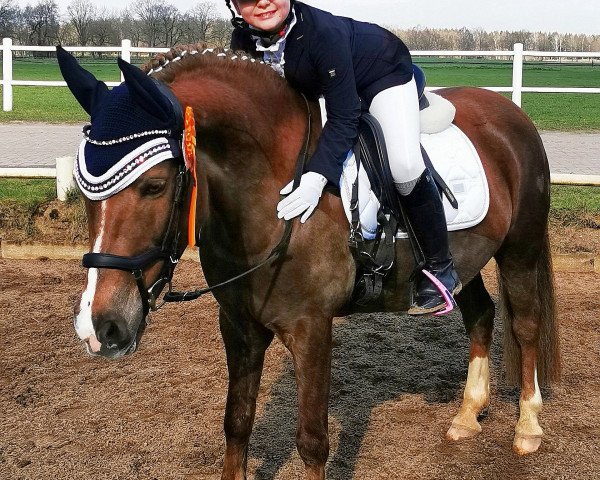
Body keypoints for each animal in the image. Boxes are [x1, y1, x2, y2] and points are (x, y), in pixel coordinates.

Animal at [68, 46, 560, 480]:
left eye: (153, 186)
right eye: (82, 187)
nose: (101, 327)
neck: (270, 196)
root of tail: (511, 113)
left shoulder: (311, 329)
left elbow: (311, 441)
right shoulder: (239, 327)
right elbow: (237, 424)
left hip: (519, 250)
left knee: (526, 324)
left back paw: (528, 426)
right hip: (466, 262)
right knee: (480, 315)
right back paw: (467, 414)